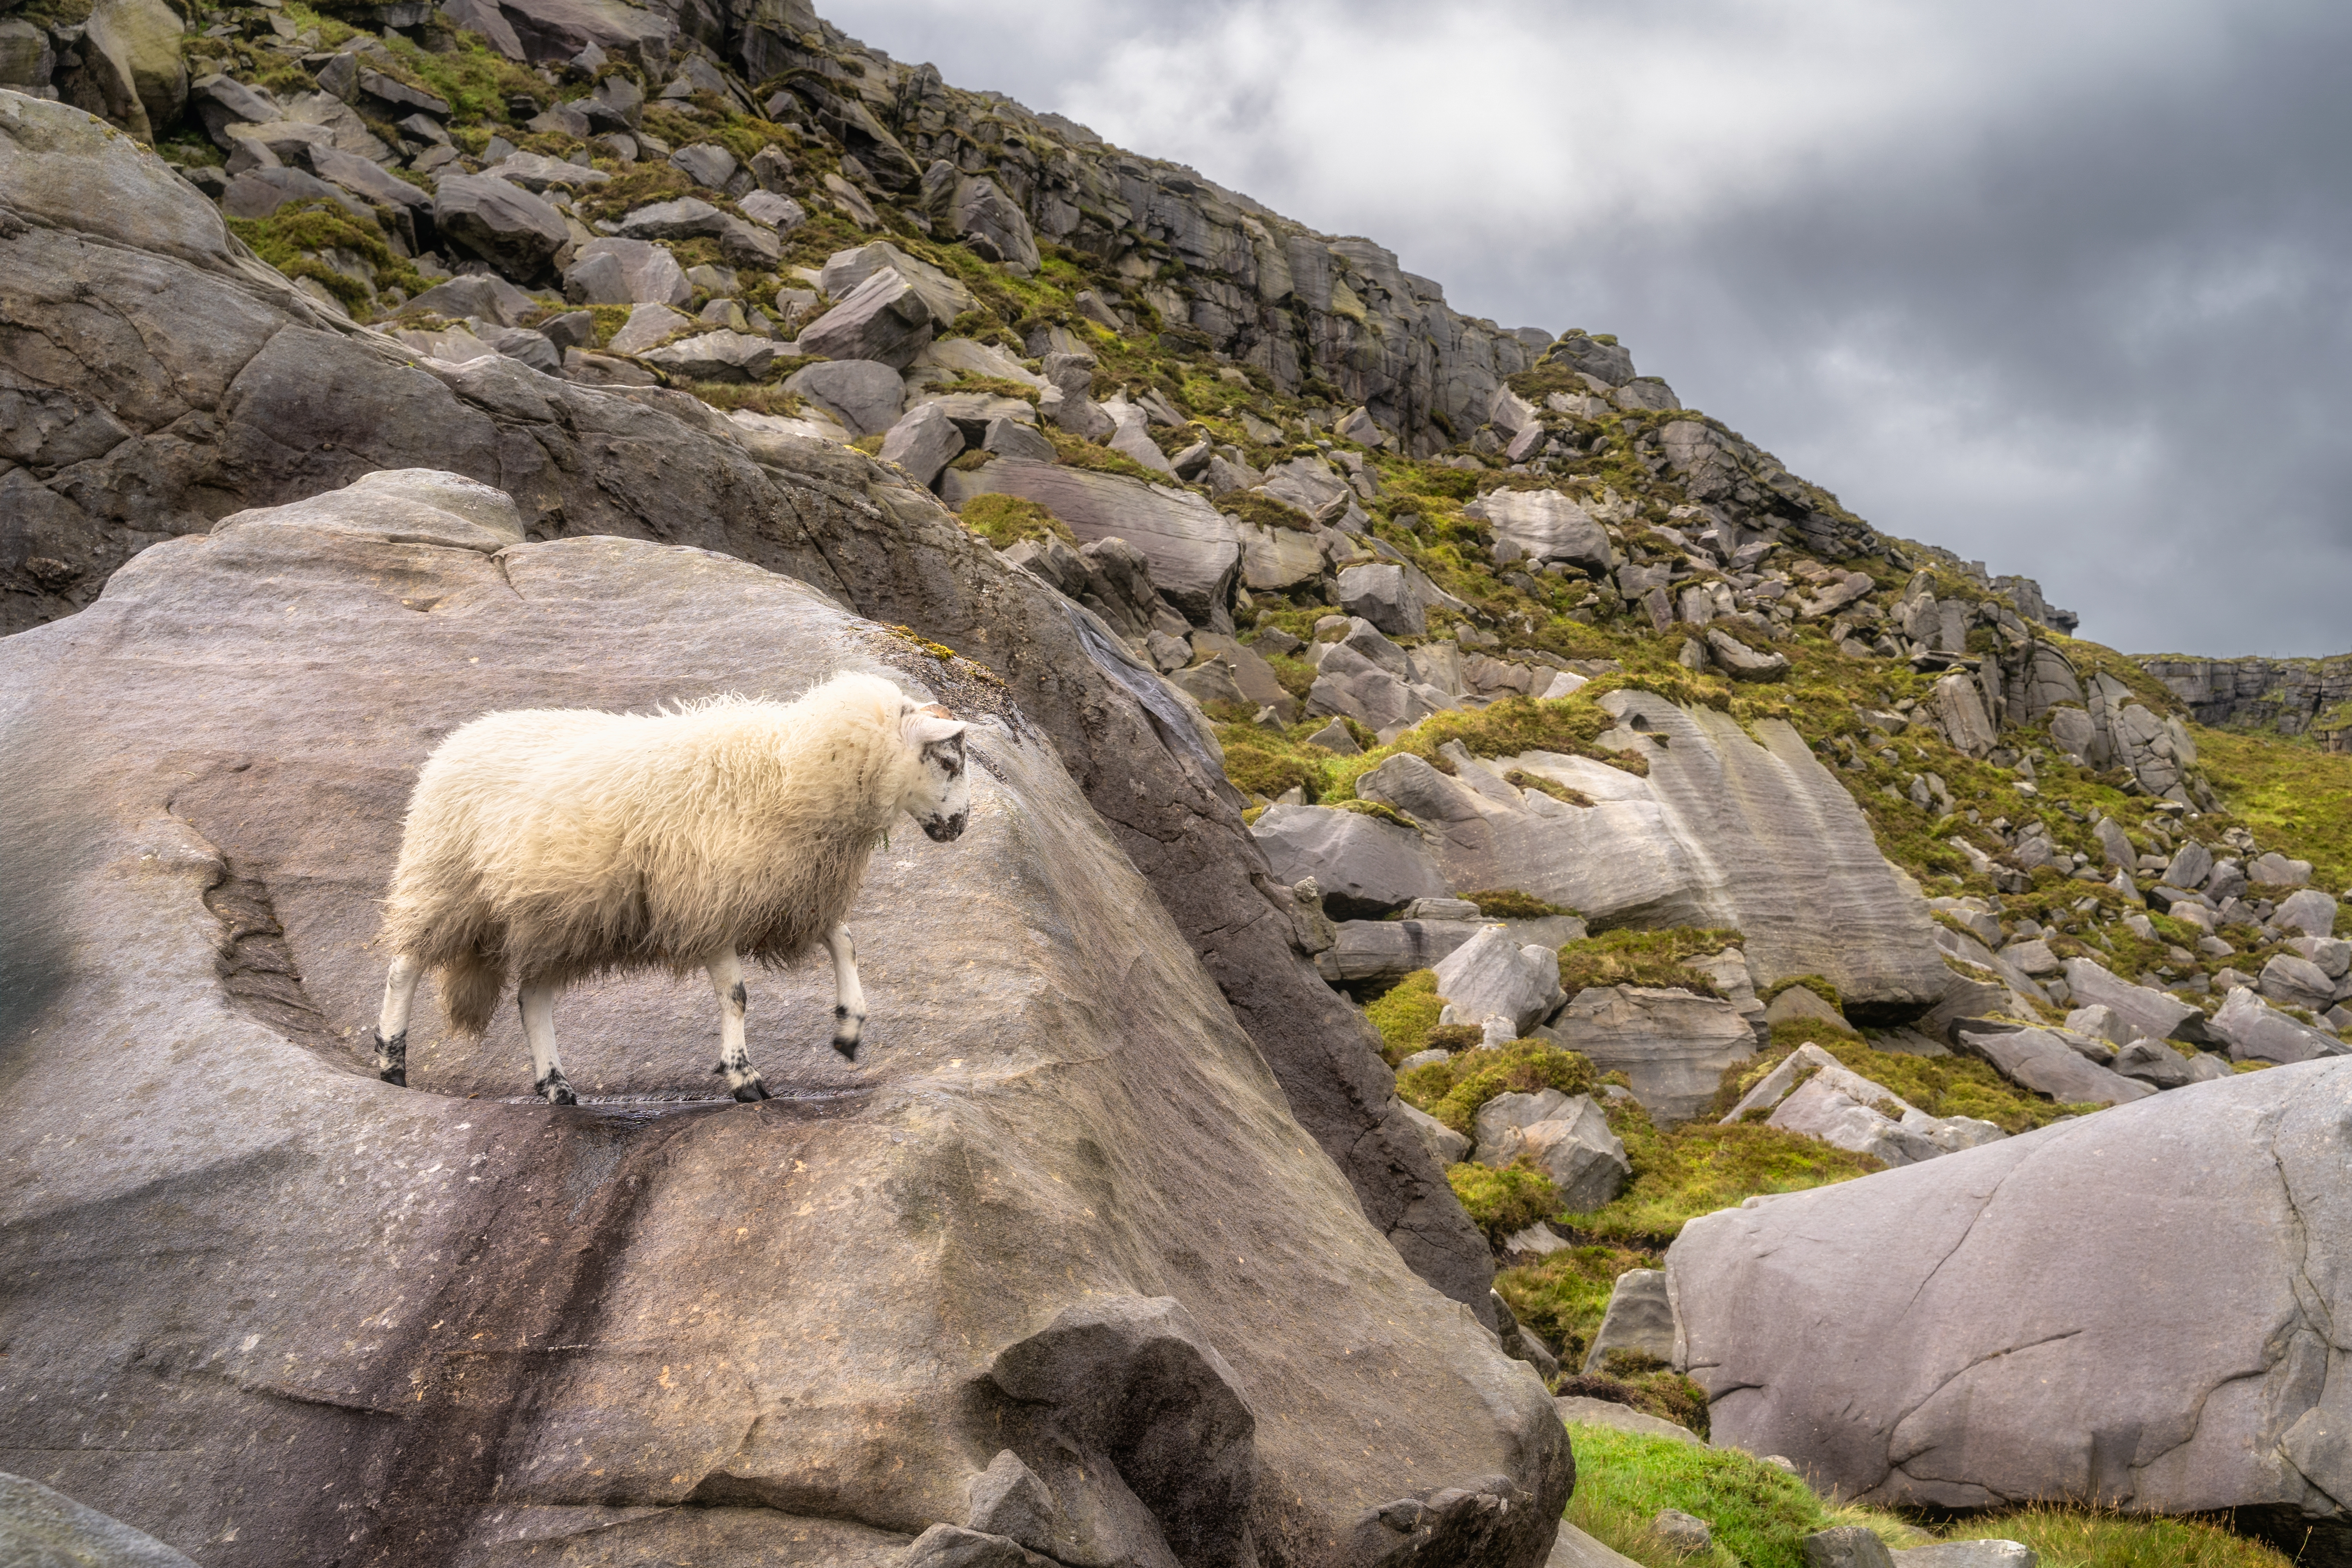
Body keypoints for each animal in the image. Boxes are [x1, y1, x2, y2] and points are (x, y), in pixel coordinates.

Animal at [365, 677, 964, 1105]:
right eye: (950, 761)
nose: (961, 827)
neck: (787, 768)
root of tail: (462, 737)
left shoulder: (793, 895)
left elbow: (847, 943)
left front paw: (849, 1028)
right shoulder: (711, 904)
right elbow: (737, 995)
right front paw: (744, 1077)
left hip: (557, 921)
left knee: (532, 999)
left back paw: (557, 1086)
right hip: (446, 884)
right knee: (404, 968)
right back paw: (392, 1062)